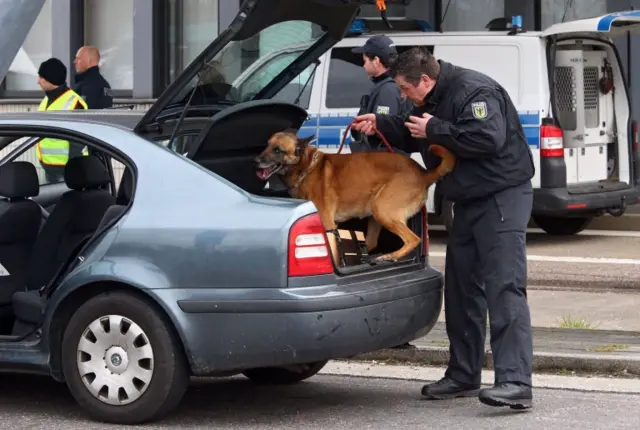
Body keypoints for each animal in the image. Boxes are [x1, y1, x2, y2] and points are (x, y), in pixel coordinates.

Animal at [255, 128, 456, 262]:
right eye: (267, 145)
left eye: (278, 150)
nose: (256, 160)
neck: (306, 167)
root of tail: (422, 172)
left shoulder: (327, 223)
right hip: (376, 218)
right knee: (373, 244)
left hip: (383, 210)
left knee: (413, 239)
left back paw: (391, 256)